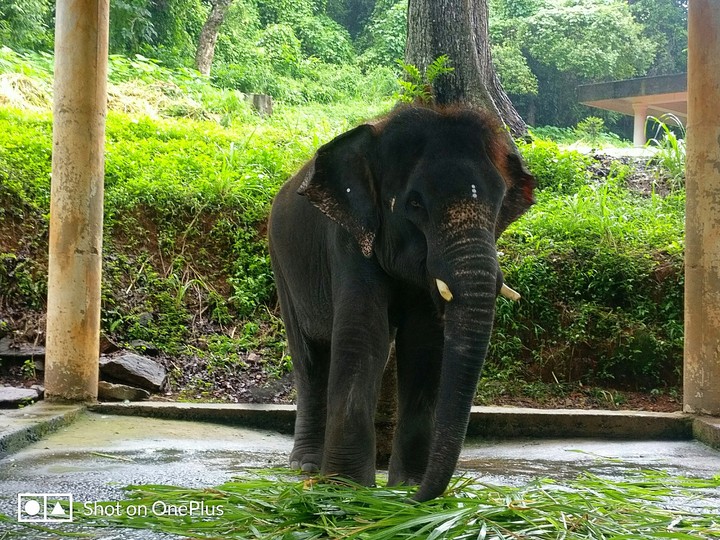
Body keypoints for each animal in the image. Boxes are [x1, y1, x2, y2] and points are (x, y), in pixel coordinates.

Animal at [268, 104, 535, 502]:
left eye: (500, 202)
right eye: (414, 203)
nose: (420, 496)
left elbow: (423, 346)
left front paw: (405, 485)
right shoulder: (348, 238)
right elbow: (365, 335)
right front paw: (347, 488)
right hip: (281, 263)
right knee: (310, 358)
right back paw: (306, 467)